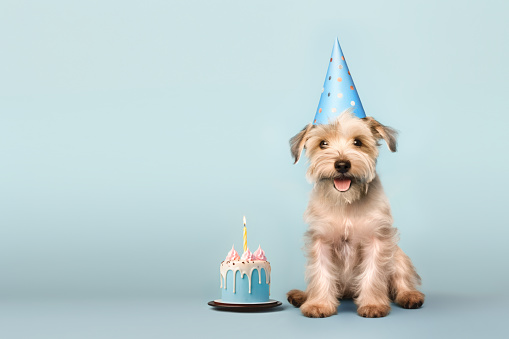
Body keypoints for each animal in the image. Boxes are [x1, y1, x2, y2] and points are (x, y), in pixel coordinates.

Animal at [288, 111, 422, 318]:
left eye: (358, 142)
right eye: (323, 143)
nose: (342, 164)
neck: (346, 202)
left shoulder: (377, 238)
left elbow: (373, 274)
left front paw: (373, 304)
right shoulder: (320, 240)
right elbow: (320, 273)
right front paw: (318, 304)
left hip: (397, 253)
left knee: (401, 276)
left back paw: (409, 295)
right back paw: (303, 296)